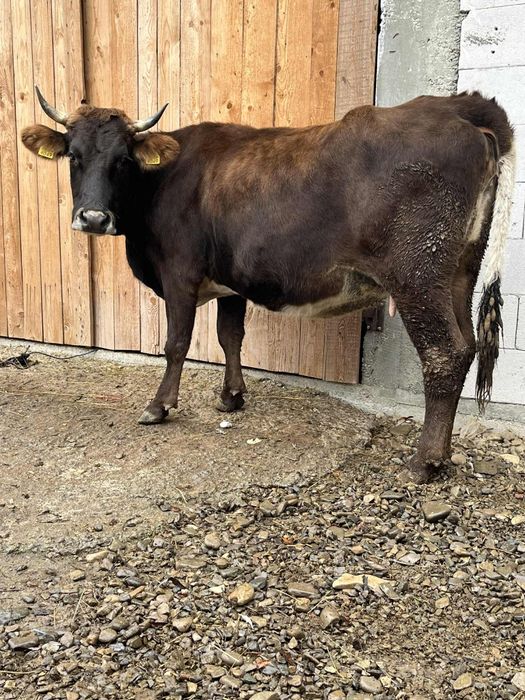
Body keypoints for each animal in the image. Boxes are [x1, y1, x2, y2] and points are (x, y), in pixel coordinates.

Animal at [22, 87, 515, 483]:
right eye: (74, 155)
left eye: (123, 159)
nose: (93, 218)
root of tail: (458, 107)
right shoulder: (231, 283)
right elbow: (229, 336)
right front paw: (231, 397)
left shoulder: (179, 274)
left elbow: (177, 343)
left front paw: (159, 406)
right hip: (460, 272)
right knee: (467, 344)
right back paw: (442, 454)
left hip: (417, 274)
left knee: (444, 353)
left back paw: (425, 461)